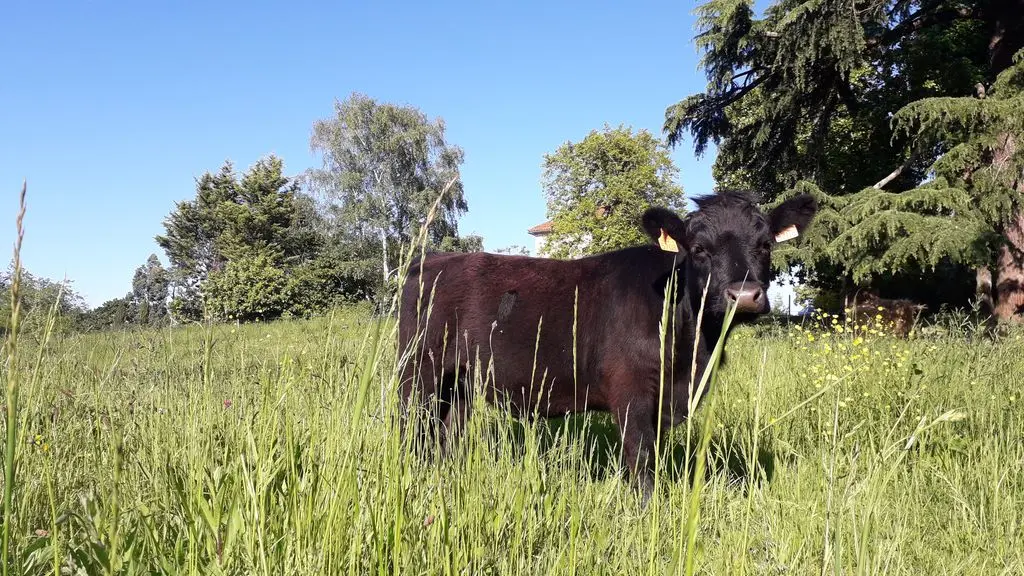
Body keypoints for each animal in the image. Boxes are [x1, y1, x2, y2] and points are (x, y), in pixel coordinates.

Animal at [397, 190, 815, 496]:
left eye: (765, 245)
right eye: (698, 249)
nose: (743, 296)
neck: (694, 351)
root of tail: (432, 259)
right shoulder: (630, 392)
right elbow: (641, 460)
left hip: (462, 381)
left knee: (446, 433)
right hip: (418, 373)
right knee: (411, 429)